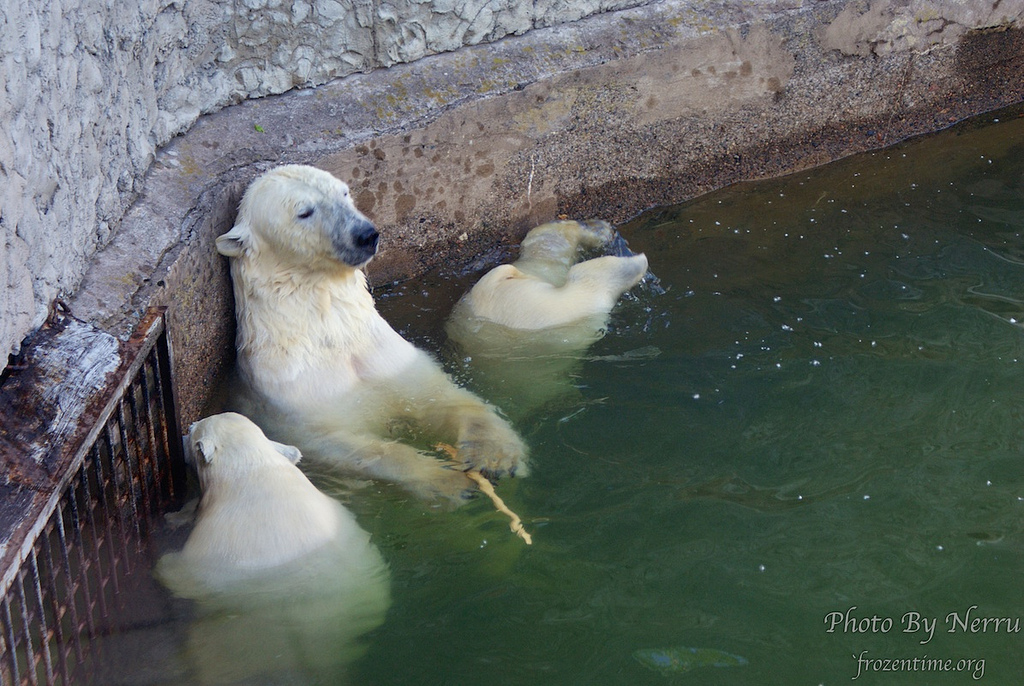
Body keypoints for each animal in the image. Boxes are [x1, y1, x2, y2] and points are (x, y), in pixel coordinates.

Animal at [220, 163, 532, 501]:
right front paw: (446, 481)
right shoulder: (295, 402)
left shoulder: (389, 359)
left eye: (344, 193)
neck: (328, 335)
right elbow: (349, 447)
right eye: (303, 211)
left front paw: (495, 454)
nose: (366, 235)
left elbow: (441, 396)